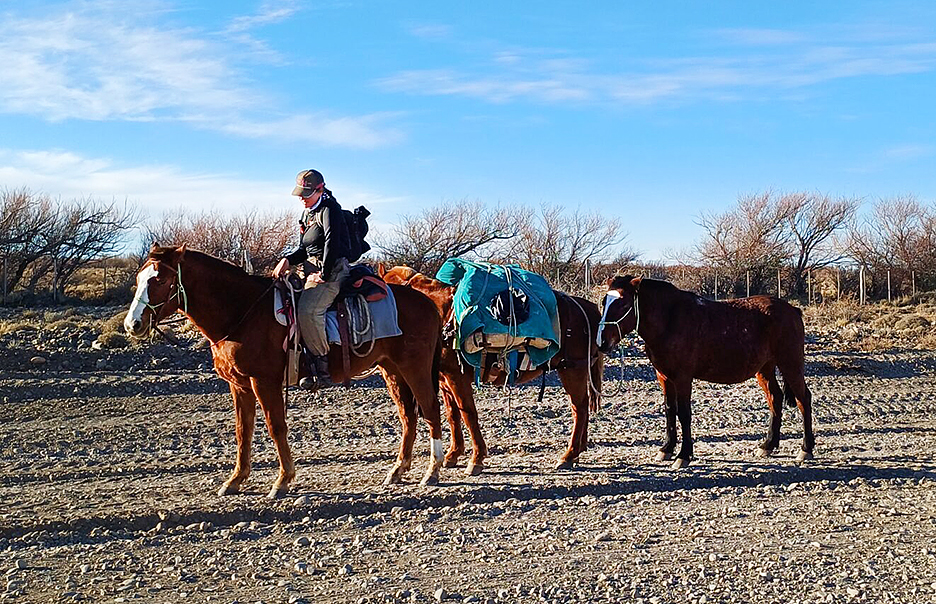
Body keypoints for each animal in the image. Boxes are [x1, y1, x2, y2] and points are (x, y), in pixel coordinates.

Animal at [124, 245, 446, 498]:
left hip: (414, 368)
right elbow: (243, 430)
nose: (132, 324)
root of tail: (428, 303)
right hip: (392, 370)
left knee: (430, 409)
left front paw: (282, 481)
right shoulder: (239, 385)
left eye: (160, 279)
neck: (242, 311)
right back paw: (398, 470)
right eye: (138, 279)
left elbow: (275, 426)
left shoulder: (264, 381)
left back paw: (432, 471)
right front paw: (235, 480)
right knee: (408, 415)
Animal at [378, 265, 604, 470]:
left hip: (572, 370)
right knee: (583, 406)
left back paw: (569, 455)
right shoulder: (444, 380)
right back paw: (579, 450)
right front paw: (453, 454)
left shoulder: (457, 377)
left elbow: (468, 413)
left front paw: (476, 458)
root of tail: (589, 309)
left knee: (579, 408)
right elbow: (453, 414)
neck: (441, 313)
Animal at [597, 275, 815, 468]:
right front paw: (666, 449)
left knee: (803, 399)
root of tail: (793, 310)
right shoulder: (664, 377)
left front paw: (683, 455)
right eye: (604, 302)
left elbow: (684, 414)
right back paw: (768, 445)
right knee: (775, 398)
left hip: (790, 364)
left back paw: (806, 449)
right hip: (765, 368)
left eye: (623, 305)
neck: (670, 320)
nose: (602, 342)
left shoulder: (683, 378)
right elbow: (670, 410)